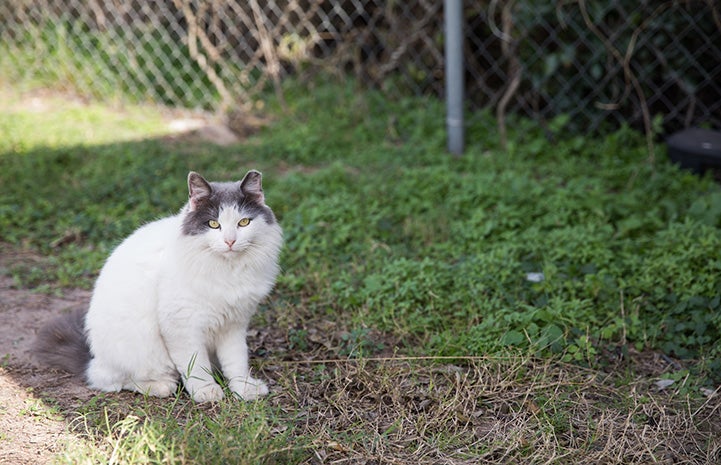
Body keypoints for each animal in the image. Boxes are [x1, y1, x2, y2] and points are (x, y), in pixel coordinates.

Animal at [33, 169, 282, 400]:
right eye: (213, 224)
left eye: (244, 222)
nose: (230, 241)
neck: (228, 270)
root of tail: (92, 358)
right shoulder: (183, 325)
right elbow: (196, 365)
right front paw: (206, 391)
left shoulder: (234, 323)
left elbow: (236, 361)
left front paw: (244, 389)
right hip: (142, 352)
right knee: (112, 380)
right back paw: (162, 386)